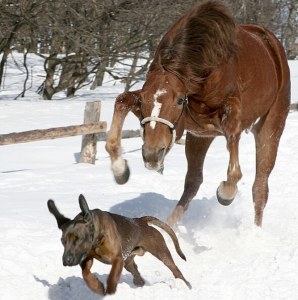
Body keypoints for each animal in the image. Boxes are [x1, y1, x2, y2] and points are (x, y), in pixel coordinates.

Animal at [46, 195, 191, 296]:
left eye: (79, 239)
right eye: (62, 241)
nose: (66, 261)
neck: (97, 237)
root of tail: (141, 221)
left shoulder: (117, 259)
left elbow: (112, 277)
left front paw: (110, 293)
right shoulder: (86, 258)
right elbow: (85, 274)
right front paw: (97, 286)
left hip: (161, 252)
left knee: (176, 270)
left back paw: (187, 286)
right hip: (128, 261)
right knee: (136, 272)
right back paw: (139, 282)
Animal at [105, 0, 288, 225]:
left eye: (179, 100)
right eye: (146, 100)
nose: (152, 155)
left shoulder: (230, 113)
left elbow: (234, 168)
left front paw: (225, 193)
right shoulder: (183, 121)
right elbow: (121, 101)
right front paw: (120, 169)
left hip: (270, 127)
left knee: (260, 186)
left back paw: (255, 229)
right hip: (200, 137)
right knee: (193, 181)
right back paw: (169, 225)